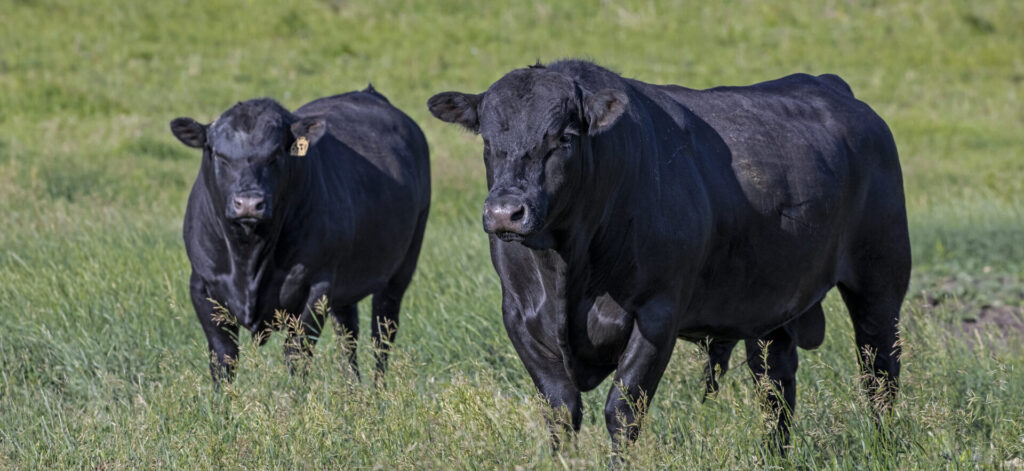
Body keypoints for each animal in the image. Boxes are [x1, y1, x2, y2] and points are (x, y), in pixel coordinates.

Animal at [171, 88, 432, 387]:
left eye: (275, 155)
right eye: (219, 155)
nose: (249, 203)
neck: (248, 256)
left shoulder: (315, 286)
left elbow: (296, 354)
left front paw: (298, 399)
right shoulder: (202, 286)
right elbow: (223, 357)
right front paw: (221, 401)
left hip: (402, 267)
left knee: (382, 332)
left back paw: (378, 392)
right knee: (348, 334)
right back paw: (353, 390)